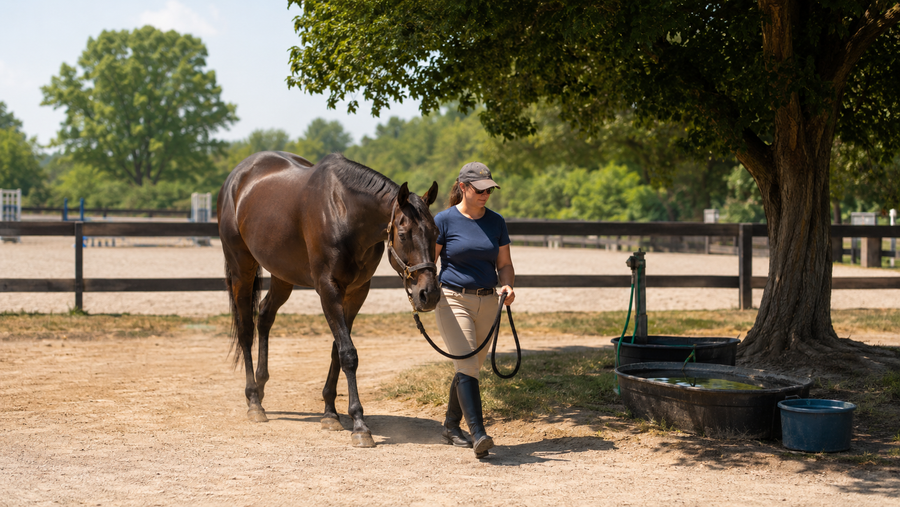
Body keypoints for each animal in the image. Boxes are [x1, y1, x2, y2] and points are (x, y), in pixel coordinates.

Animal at [217, 151, 440, 448]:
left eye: (436, 234)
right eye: (403, 235)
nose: (429, 294)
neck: (345, 213)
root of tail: (236, 178)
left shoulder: (357, 292)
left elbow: (338, 349)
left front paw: (330, 413)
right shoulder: (328, 289)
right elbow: (348, 353)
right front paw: (359, 424)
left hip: (282, 274)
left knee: (264, 315)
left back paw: (262, 387)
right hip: (242, 268)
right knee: (245, 330)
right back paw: (254, 401)